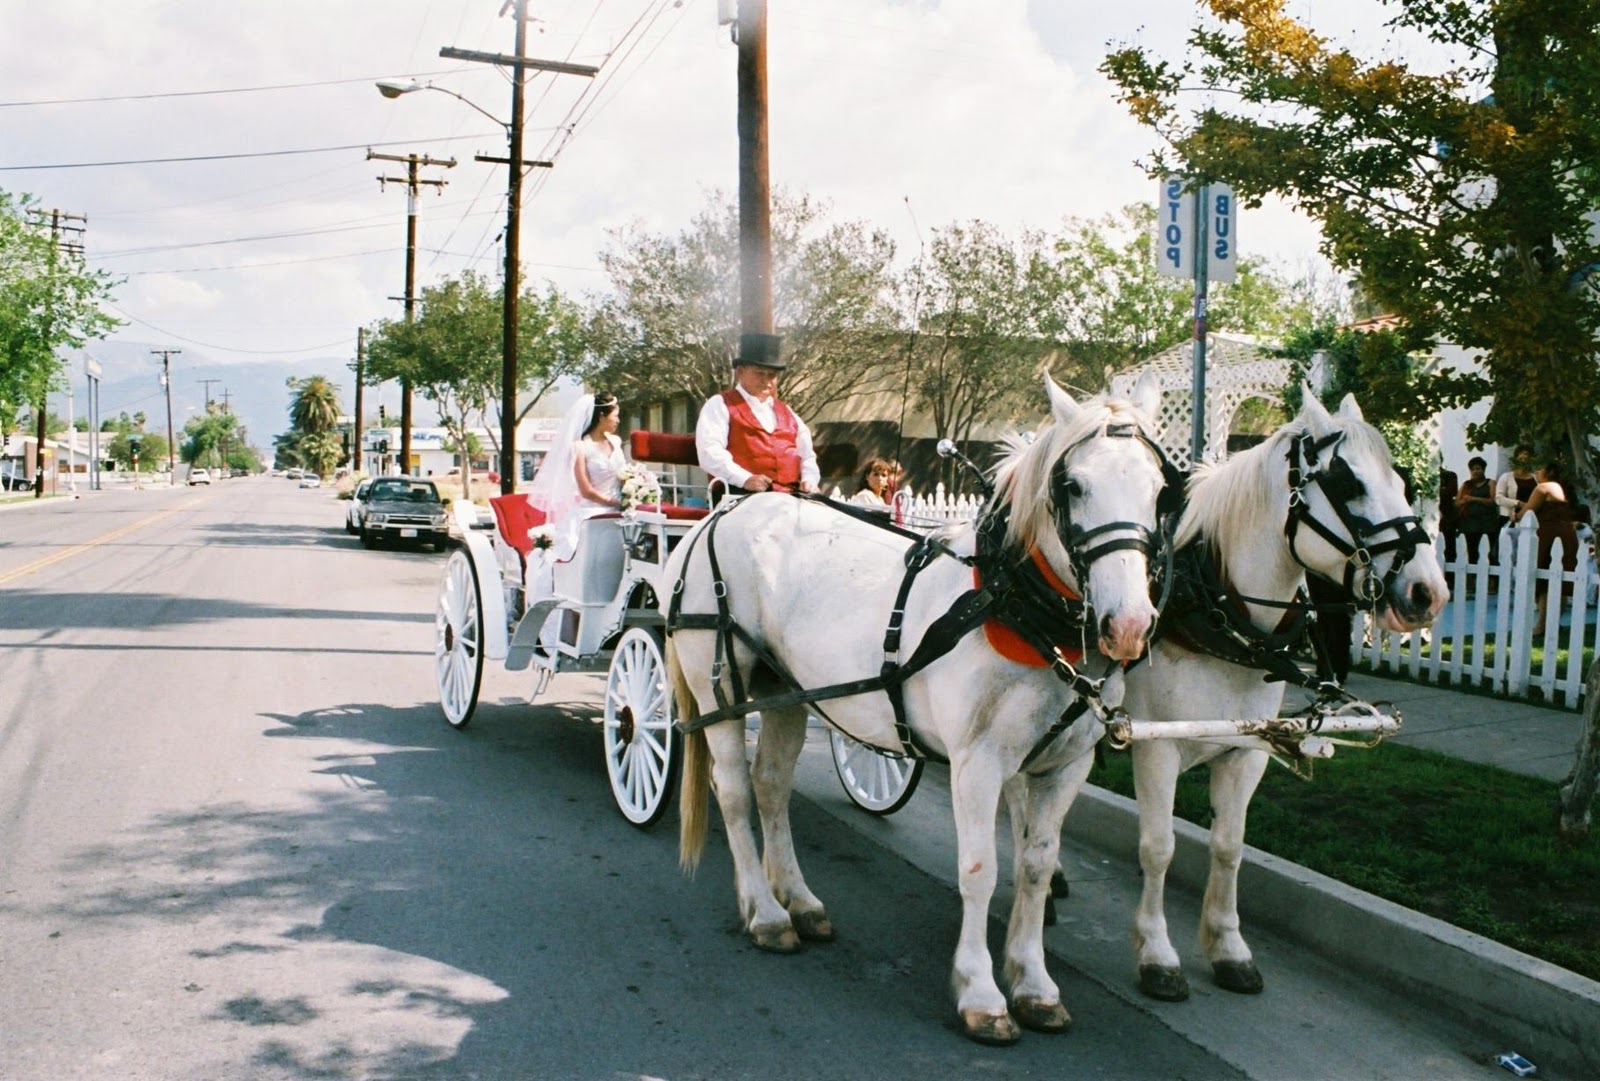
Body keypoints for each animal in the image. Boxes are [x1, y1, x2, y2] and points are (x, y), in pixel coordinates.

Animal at [668, 374, 1171, 1049]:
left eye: (1160, 490)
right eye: (1072, 485)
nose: (1129, 625)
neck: (1010, 603)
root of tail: (721, 515)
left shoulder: (1066, 766)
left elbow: (1036, 867)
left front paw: (1033, 983)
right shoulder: (978, 763)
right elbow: (981, 869)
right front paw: (981, 992)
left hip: (785, 691)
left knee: (770, 787)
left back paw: (798, 899)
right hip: (720, 689)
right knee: (734, 792)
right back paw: (766, 912)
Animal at [1120, 393, 1446, 997]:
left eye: (1402, 481)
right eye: (1347, 483)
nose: (1428, 592)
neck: (1217, 608)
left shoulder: (1250, 750)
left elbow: (1229, 845)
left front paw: (1228, 947)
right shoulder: (1155, 746)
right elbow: (1159, 847)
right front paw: (1156, 953)